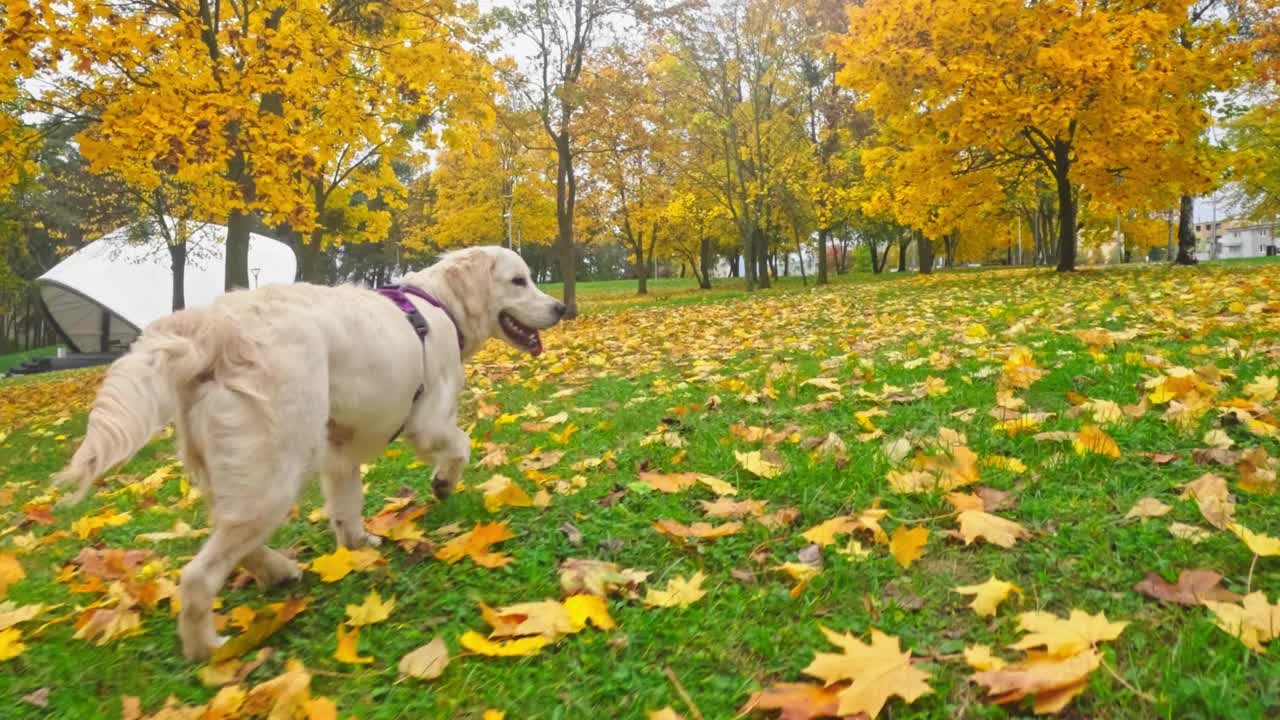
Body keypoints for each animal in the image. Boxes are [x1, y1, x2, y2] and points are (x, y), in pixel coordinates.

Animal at [53, 244, 565, 655]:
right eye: (518, 281)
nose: (561, 306)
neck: (438, 305)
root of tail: (214, 323)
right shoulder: (428, 420)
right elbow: (461, 444)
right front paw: (442, 483)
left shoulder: (340, 447)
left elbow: (346, 506)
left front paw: (358, 545)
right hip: (276, 469)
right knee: (198, 576)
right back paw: (209, 650)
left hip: (236, 469)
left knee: (234, 538)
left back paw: (278, 570)